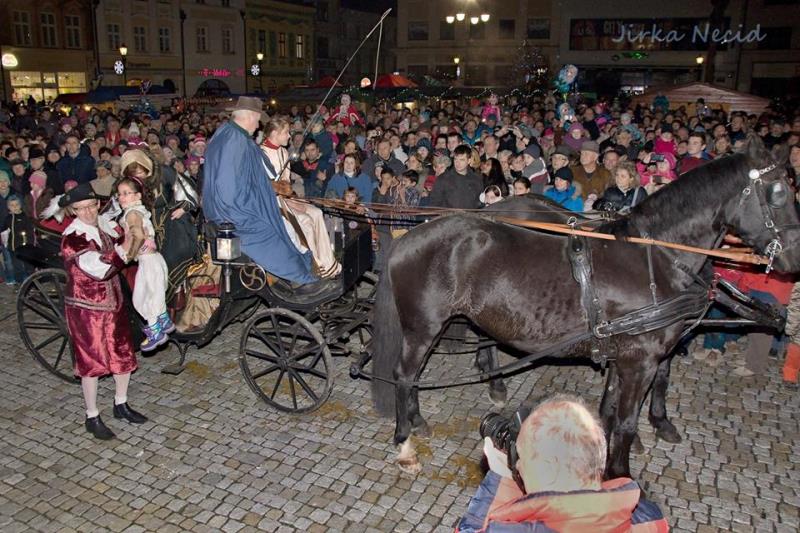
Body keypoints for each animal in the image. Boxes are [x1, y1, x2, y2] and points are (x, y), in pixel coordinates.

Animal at [370, 135, 800, 476]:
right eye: (778, 191)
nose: (793, 258)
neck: (655, 256)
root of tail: (411, 236)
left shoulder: (627, 353)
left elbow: (613, 409)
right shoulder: (641, 359)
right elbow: (625, 422)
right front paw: (622, 476)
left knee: (423, 370)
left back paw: (428, 415)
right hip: (423, 326)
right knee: (405, 373)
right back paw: (405, 441)